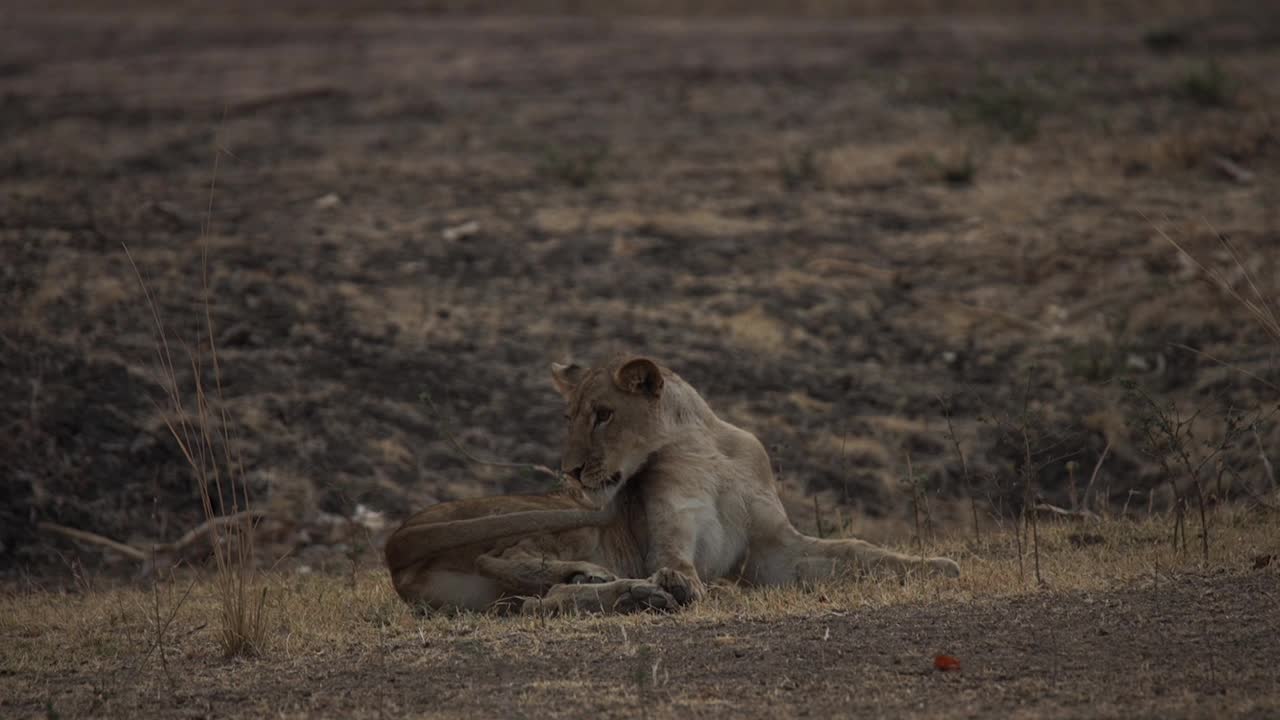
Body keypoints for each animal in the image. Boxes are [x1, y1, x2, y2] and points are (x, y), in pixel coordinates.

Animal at [386, 353, 962, 609]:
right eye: (569, 417)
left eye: (603, 415)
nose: (570, 471)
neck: (705, 447)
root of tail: (398, 541)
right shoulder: (669, 528)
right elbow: (676, 561)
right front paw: (684, 583)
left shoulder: (775, 550)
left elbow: (858, 549)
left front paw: (937, 566)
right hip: (551, 518)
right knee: (503, 559)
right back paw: (627, 587)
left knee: (534, 601)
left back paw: (613, 590)